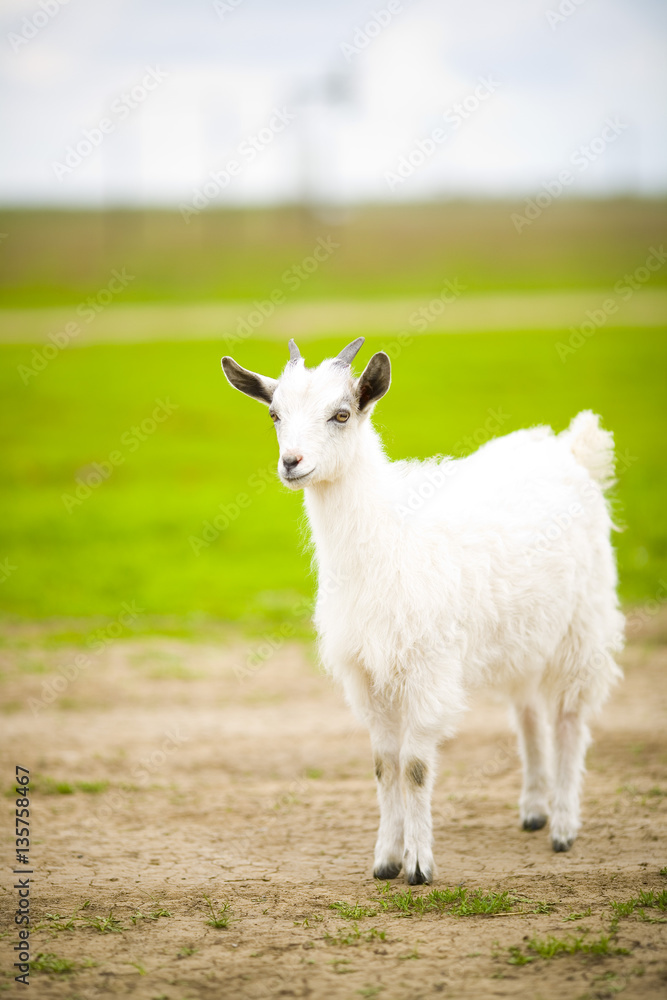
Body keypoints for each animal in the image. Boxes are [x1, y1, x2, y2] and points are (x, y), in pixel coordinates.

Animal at [221, 338, 624, 884]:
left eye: (341, 414)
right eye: (274, 414)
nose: (292, 462)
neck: (388, 537)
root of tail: (570, 449)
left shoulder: (427, 667)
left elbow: (413, 766)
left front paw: (418, 865)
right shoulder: (367, 671)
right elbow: (384, 763)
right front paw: (386, 859)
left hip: (583, 624)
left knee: (569, 719)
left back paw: (563, 825)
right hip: (523, 633)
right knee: (528, 714)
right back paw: (534, 809)